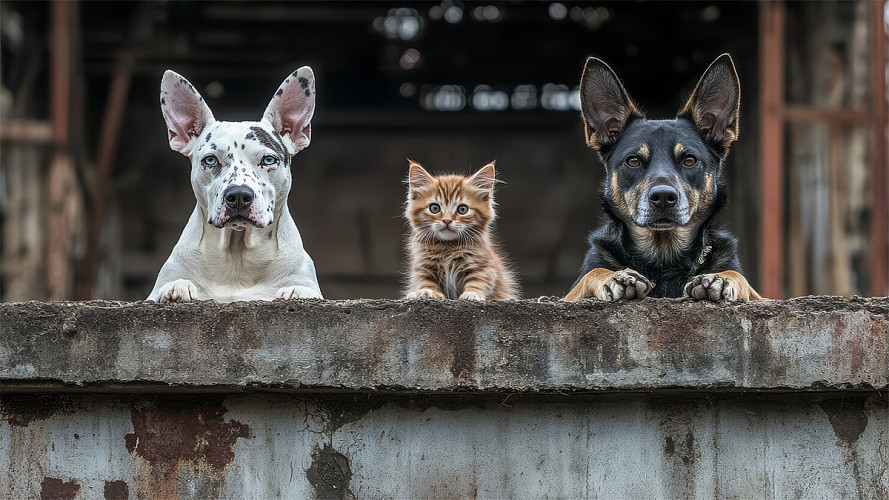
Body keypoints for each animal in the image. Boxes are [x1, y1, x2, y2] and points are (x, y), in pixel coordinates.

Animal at [147, 66, 324, 300]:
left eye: (269, 159)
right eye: (210, 160)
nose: (239, 195)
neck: (237, 255)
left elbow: (305, 289)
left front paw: (297, 291)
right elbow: (170, 285)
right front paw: (178, 287)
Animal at [404, 160, 520, 300]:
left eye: (462, 209)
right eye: (434, 208)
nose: (447, 220)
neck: (447, 247)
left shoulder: (483, 267)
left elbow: (479, 280)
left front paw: (472, 293)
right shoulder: (423, 265)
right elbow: (423, 280)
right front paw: (425, 291)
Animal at [564, 55, 760, 304]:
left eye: (689, 160)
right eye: (633, 161)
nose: (664, 197)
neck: (663, 261)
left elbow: (741, 278)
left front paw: (721, 277)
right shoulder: (569, 293)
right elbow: (592, 273)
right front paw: (615, 276)